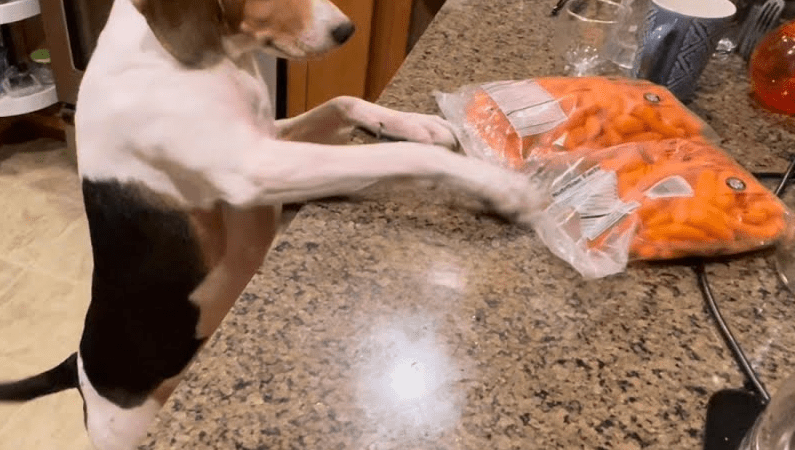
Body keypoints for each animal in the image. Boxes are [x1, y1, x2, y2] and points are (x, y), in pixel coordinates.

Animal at [0, 0, 544, 448]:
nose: (346, 30)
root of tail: (79, 364)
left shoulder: (271, 136)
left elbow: (344, 102)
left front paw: (419, 124)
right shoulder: (254, 169)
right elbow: (399, 157)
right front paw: (500, 187)